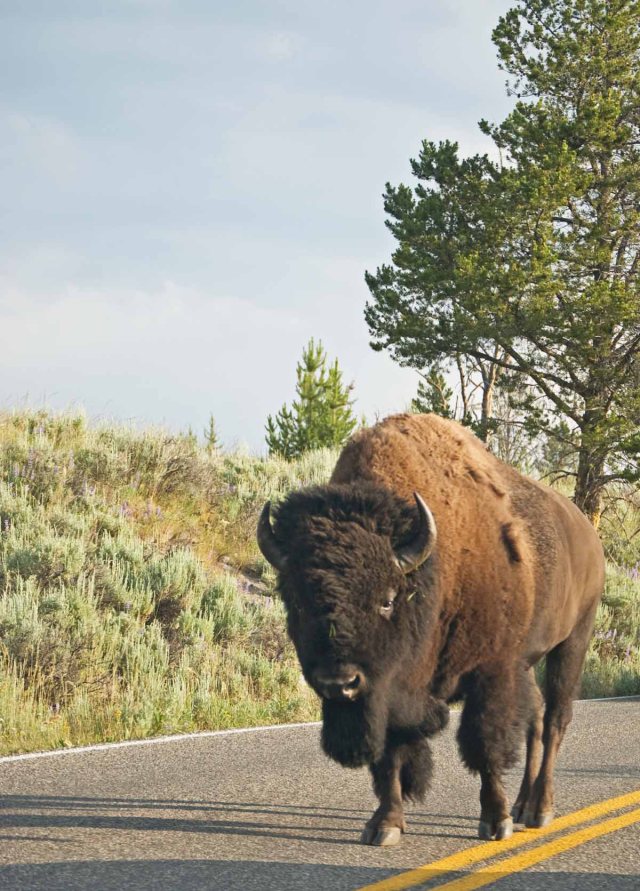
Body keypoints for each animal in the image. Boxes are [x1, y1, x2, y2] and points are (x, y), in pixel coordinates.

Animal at [257, 413, 605, 846]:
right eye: (298, 602)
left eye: (387, 599)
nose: (339, 683)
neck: (434, 569)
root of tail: (587, 533)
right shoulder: (388, 687)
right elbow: (390, 753)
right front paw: (385, 825)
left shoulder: (491, 671)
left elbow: (484, 743)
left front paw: (495, 822)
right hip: (527, 664)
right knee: (536, 718)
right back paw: (524, 804)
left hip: (572, 642)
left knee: (555, 719)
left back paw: (539, 810)